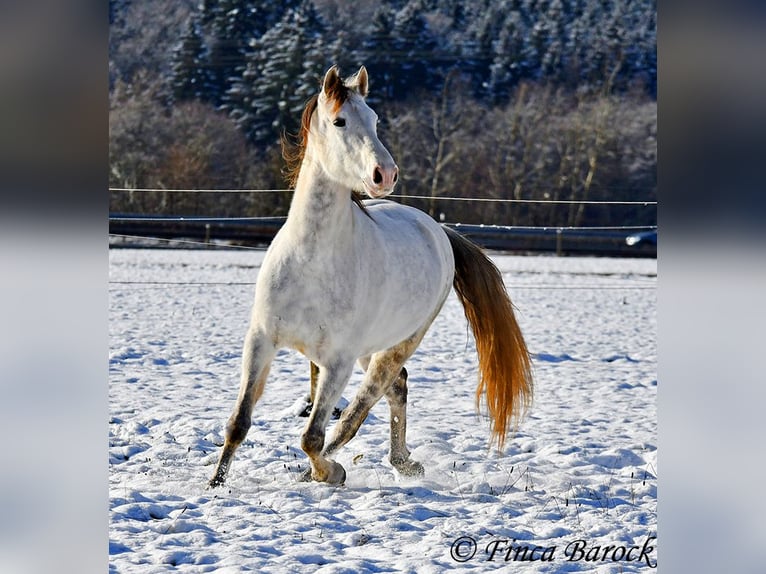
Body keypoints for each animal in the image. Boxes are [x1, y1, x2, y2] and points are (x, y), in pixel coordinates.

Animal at [210, 67, 536, 488]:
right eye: (339, 121)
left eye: (375, 119)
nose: (386, 174)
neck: (311, 260)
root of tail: (438, 230)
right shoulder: (261, 341)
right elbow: (239, 422)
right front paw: (215, 485)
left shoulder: (337, 362)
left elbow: (313, 436)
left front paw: (328, 472)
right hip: (371, 349)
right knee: (396, 389)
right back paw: (403, 462)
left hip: (397, 344)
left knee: (360, 411)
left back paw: (335, 469)